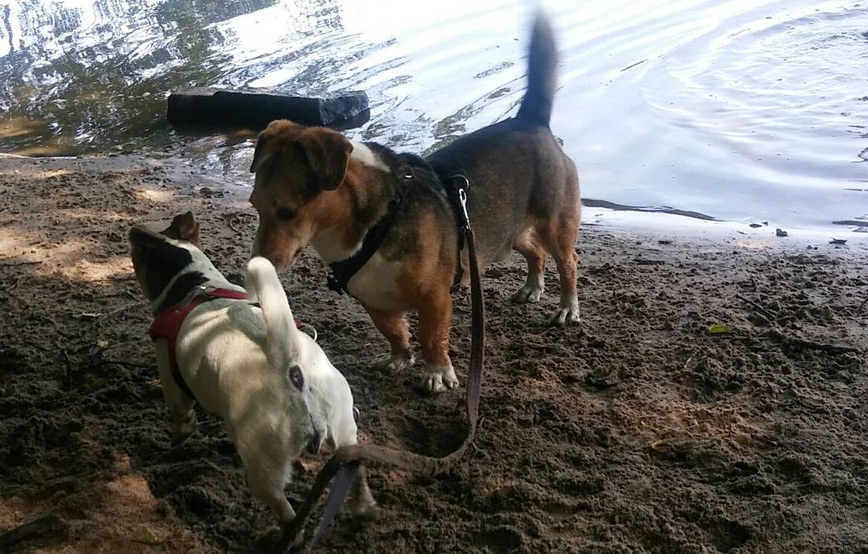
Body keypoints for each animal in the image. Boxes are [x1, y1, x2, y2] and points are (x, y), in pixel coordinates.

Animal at [131, 212, 374, 540]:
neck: (196, 286)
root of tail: (291, 368)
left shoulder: (172, 384)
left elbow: (180, 419)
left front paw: (177, 441)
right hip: (345, 429)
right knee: (355, 472)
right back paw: (363, 510)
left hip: (261, 462)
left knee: (284, 509)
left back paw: (285, 536)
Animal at [248, 12, 580, 392]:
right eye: (255, 206)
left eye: (288, 212)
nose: (259, 263)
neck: (376, 222)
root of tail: (530, 120)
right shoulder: (374, 301)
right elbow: (393, 331)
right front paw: (399, 359)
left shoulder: (435, 298)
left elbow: (432, 336)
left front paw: (436, 373)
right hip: (503, 234)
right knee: (535, 252)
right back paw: (531, 288)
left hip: (555, 226)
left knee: (568, 263)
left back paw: (567, 308)